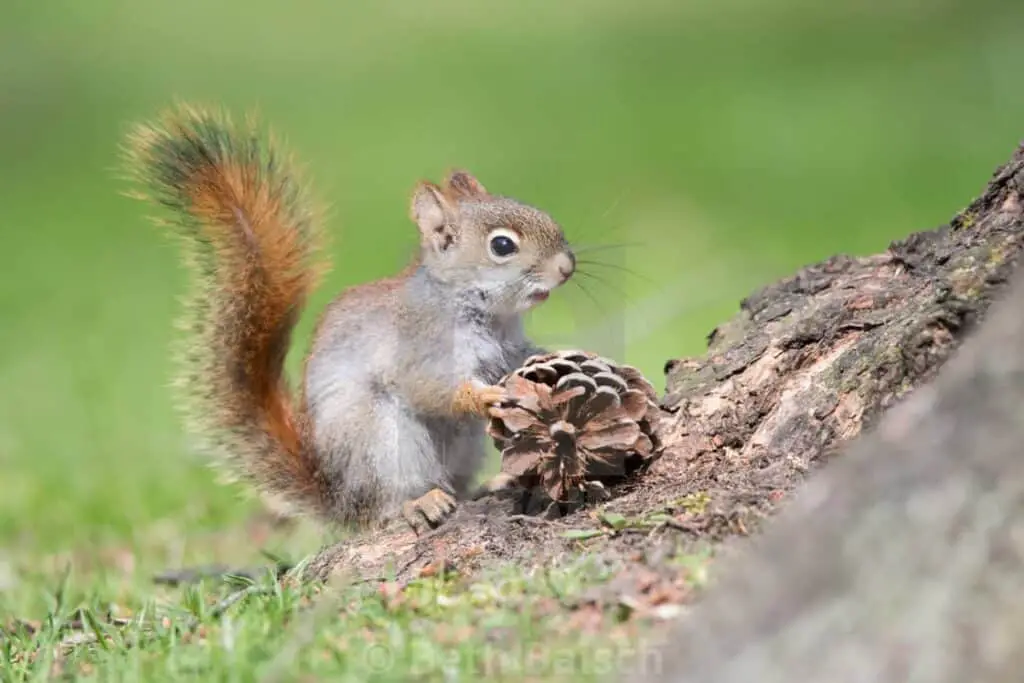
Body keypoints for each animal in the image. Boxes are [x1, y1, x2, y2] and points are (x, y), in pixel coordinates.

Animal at [121, 104, 577, 536]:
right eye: (502, 246)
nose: (567, 267)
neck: (481, 311)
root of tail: (341, 499)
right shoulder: (420, 344)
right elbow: (430, 387)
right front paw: (483, 397)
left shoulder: (509, 345)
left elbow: (522, 356)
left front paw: (562, 358)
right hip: (381, 440)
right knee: (386, 506)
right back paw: (417, 504)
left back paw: (489, 486)